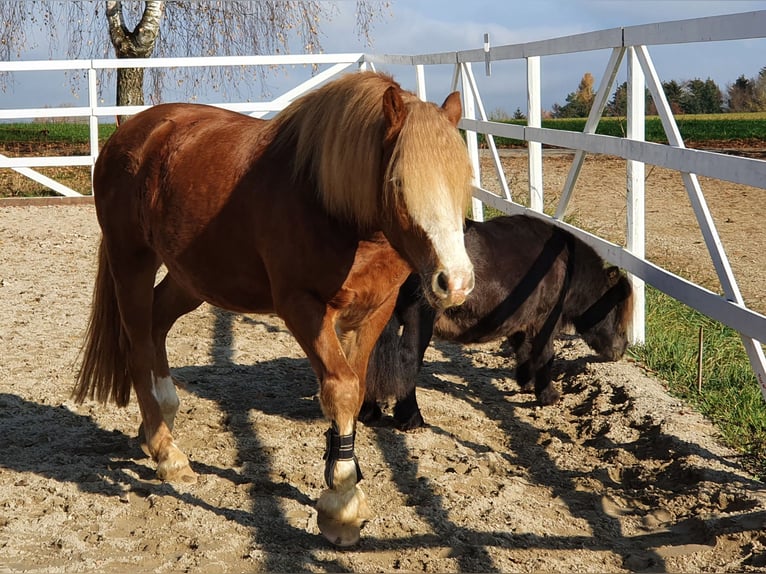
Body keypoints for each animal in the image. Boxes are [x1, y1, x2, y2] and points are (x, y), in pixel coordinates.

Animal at [75, 73, 476, 548]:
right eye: (398, 183)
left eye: (462, 180)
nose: (456, 282)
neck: (329, 200)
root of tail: (131, 131)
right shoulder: (302, 307)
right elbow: (341, 389)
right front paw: (341, 505)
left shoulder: (374, 311)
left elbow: (357, 389)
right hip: (131, 260)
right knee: (137, 342)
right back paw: (166, 452)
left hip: (194, 278)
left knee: (155, 327)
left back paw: (157, 424)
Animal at [364, 216, 632, 432]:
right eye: (616, 308)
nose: (622, 348)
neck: (565, 263)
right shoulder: (545, 321)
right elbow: (545, 354)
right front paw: (548, 395)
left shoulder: (519, 319)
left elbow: (523, 349)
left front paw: (526, 382)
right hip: (419, 319)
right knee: (408, 360)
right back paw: (411, 418)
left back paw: (369, 412)